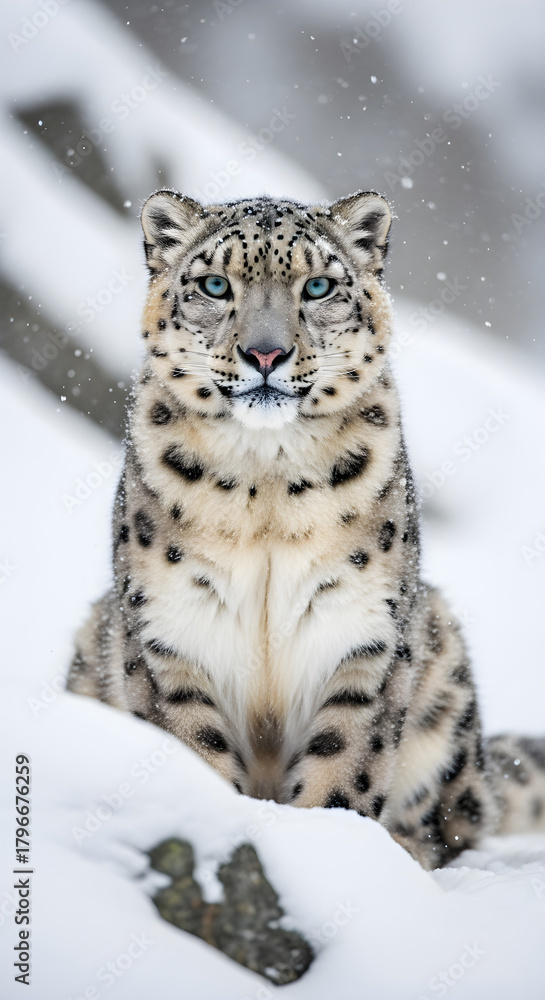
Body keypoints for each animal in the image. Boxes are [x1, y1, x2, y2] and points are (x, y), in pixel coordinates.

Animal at [67, 188, 545, 869]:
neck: (265, 488)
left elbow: (346, 759)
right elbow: (192, 744)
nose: (265, 354)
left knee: (453, 823)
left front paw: (331, 853)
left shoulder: (362, 629)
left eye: (317, 286)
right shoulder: (171, 627)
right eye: (215, 283)